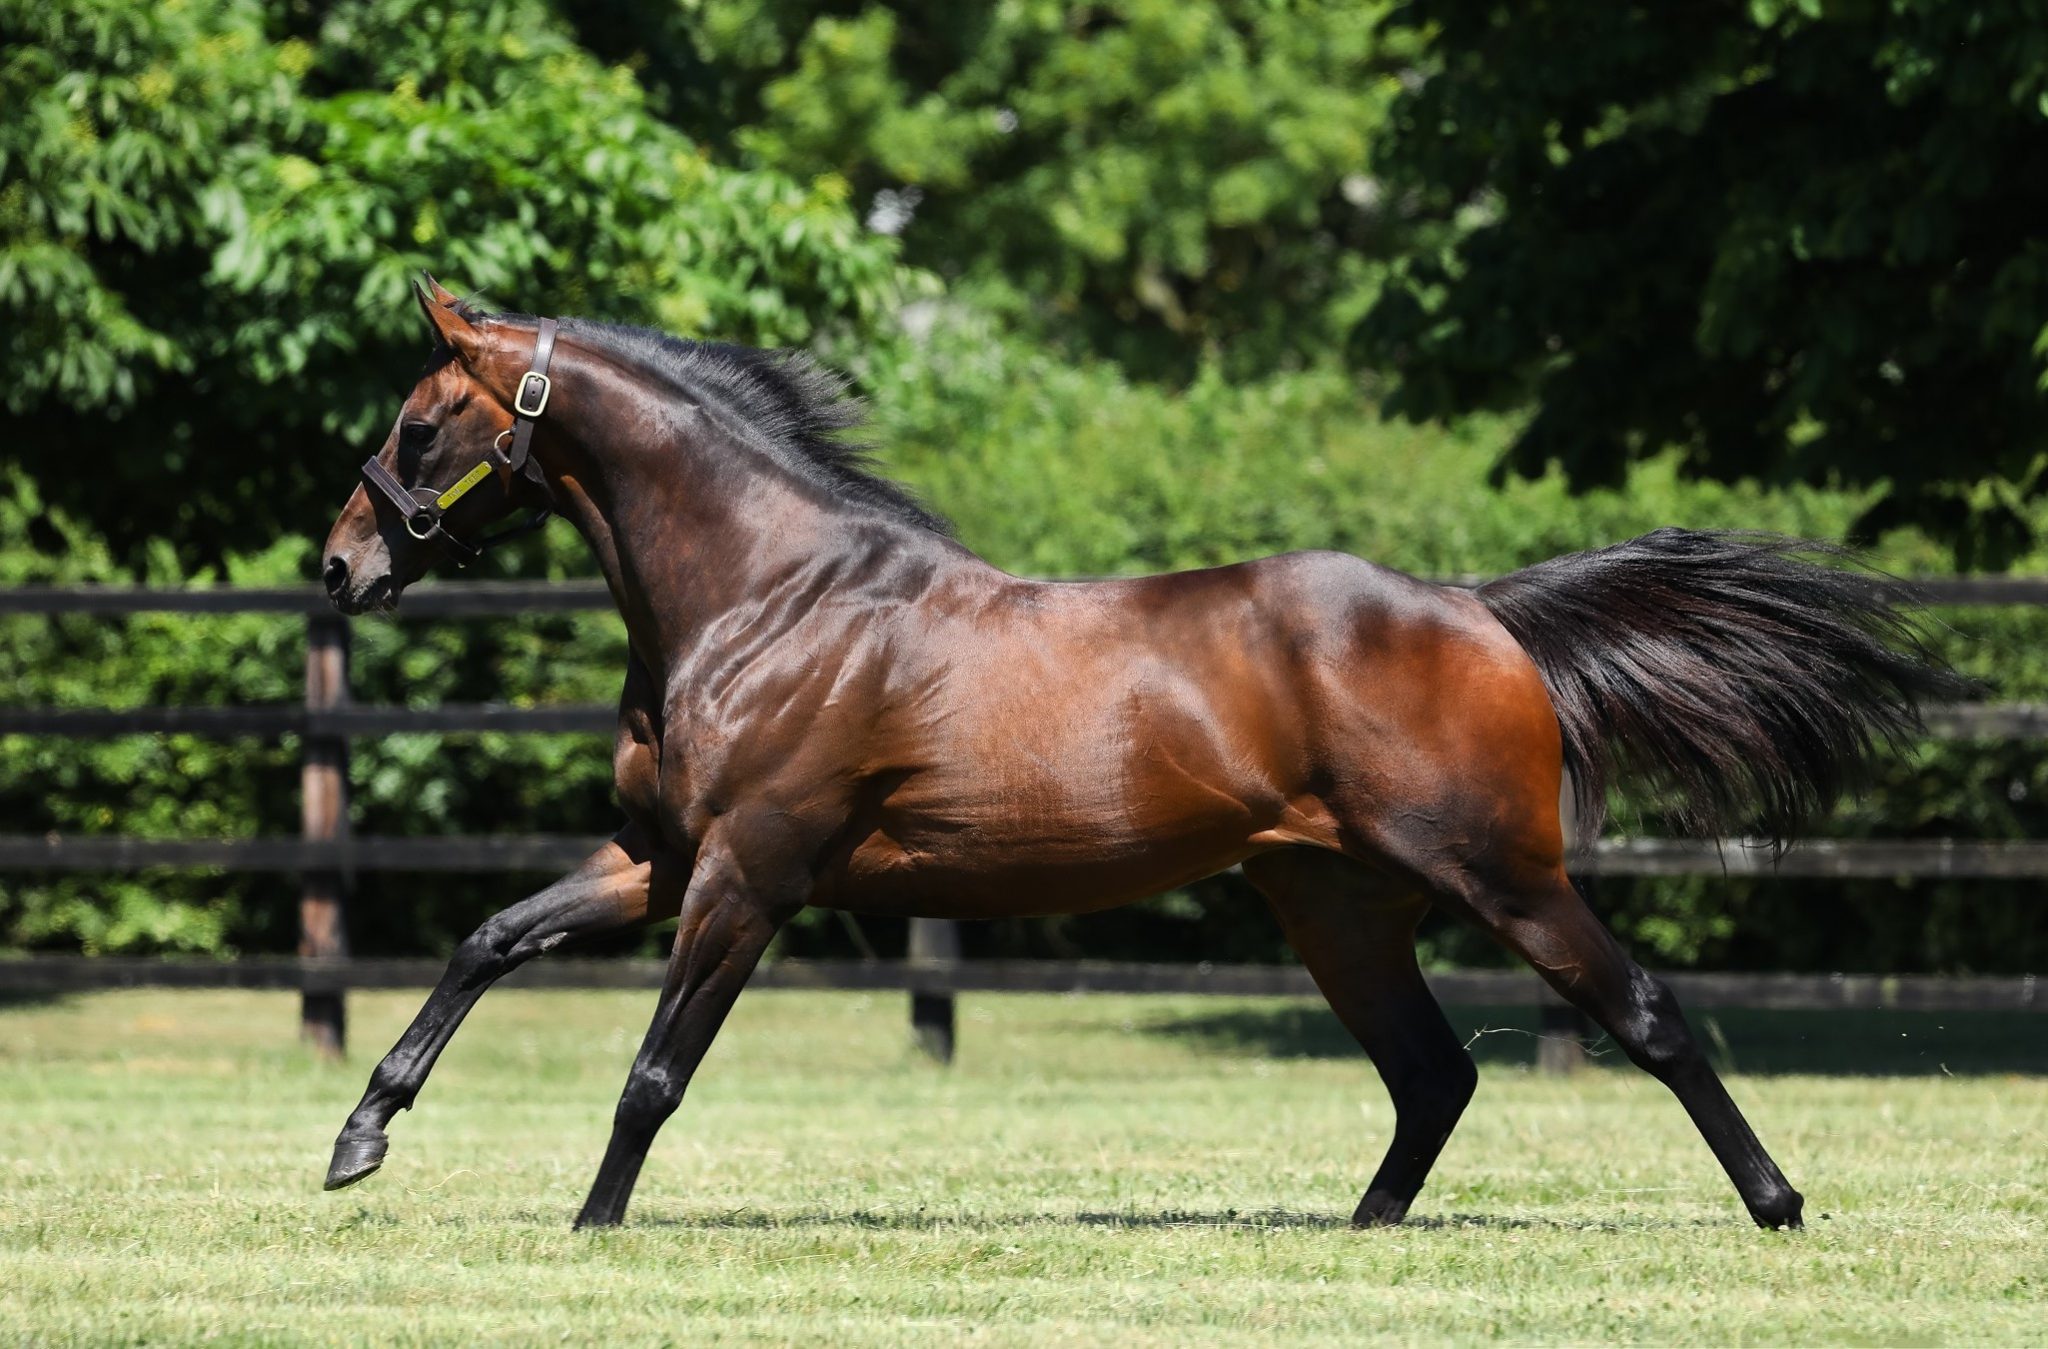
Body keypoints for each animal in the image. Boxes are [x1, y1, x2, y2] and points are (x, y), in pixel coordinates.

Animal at [315, 282, 1949, 1236]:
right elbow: (490, 937)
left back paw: (1779, 1203)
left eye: (421, 419)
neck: (772, 595)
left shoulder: (748, 874)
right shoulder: (659, 859)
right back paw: (1360, 1235)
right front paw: (358, 1138)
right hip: (1336, 905)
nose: (339, 568)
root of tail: (1477, 609)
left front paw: (591, 1227)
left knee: (1642, 1017)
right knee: (1430, 1074)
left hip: (1502, 875)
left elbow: (656, 1067)